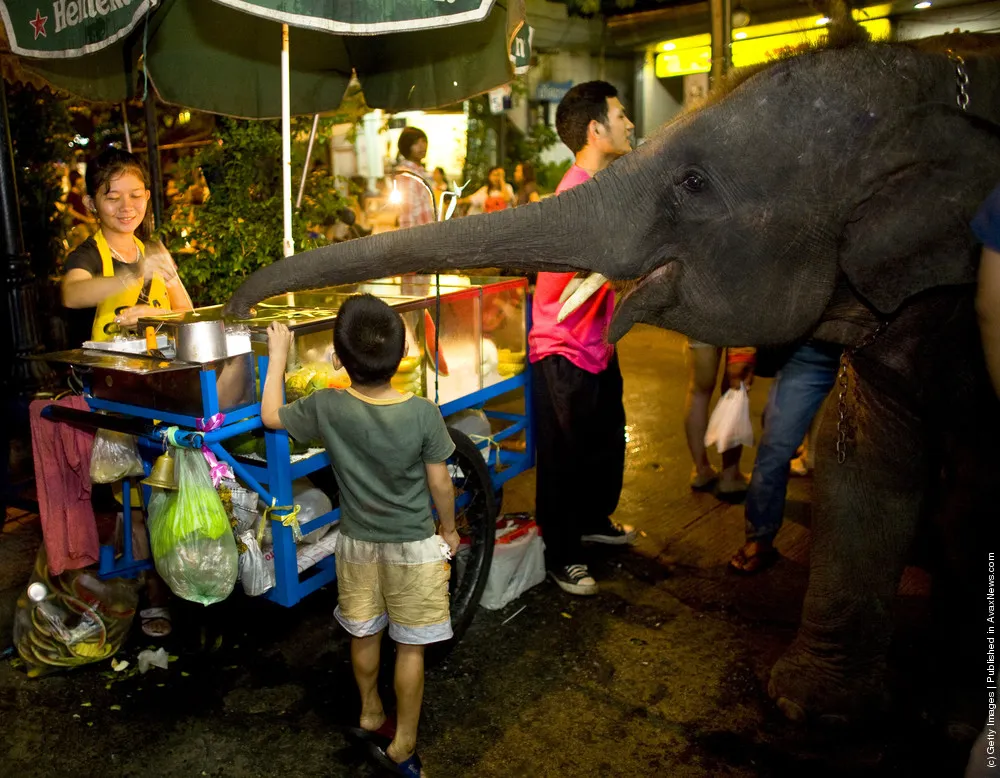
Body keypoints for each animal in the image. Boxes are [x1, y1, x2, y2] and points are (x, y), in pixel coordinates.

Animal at [227, 30, 1000, 720]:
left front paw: (823, 698)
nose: (238, 310)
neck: (932, 83)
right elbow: (861, 460)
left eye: (693, 183)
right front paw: (809, 702)